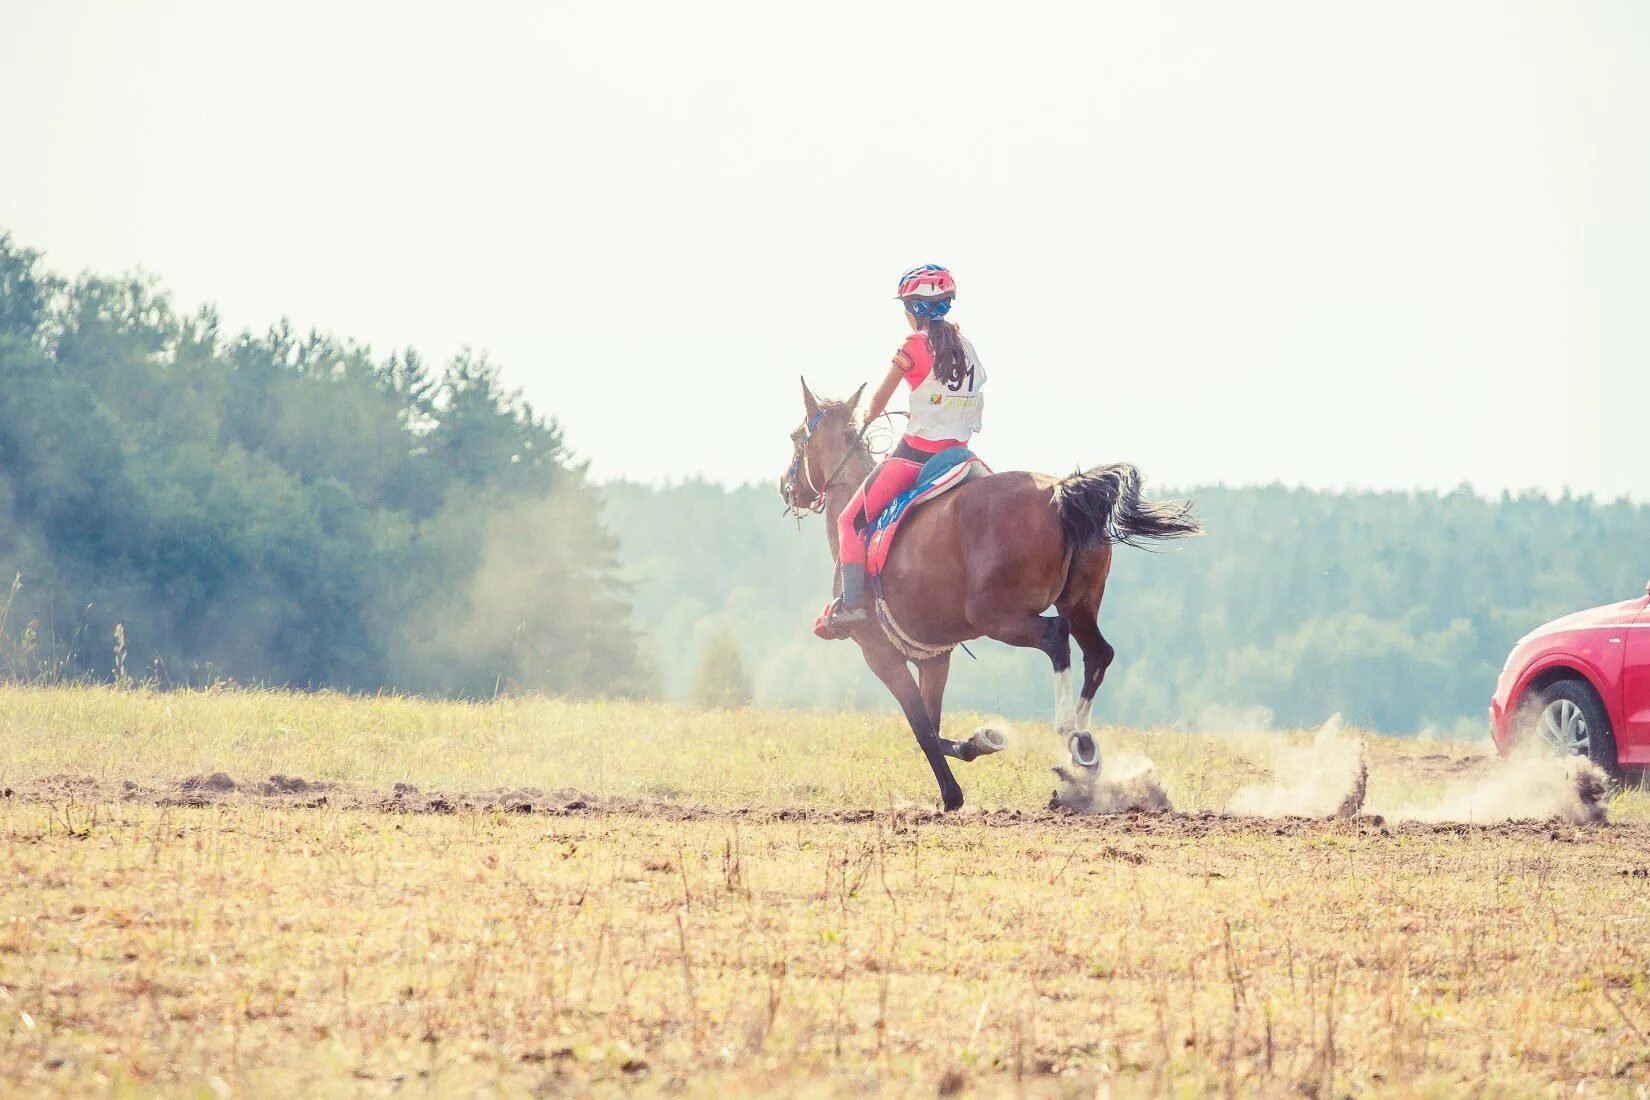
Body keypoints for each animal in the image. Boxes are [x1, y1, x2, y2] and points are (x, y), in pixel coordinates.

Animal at [778, 382, 1194, 814]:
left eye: (794, 437)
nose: (786, 487)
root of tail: (1059, 492)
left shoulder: (880, 654)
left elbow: (921, 727)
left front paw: (953, 793)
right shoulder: (935, 657)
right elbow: (934, 725)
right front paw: (979, 743)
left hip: (1000, 618)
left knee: (1055, 637)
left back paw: (1068, 729)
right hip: (1080, 604)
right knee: (1098, 652)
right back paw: (1084, 747)